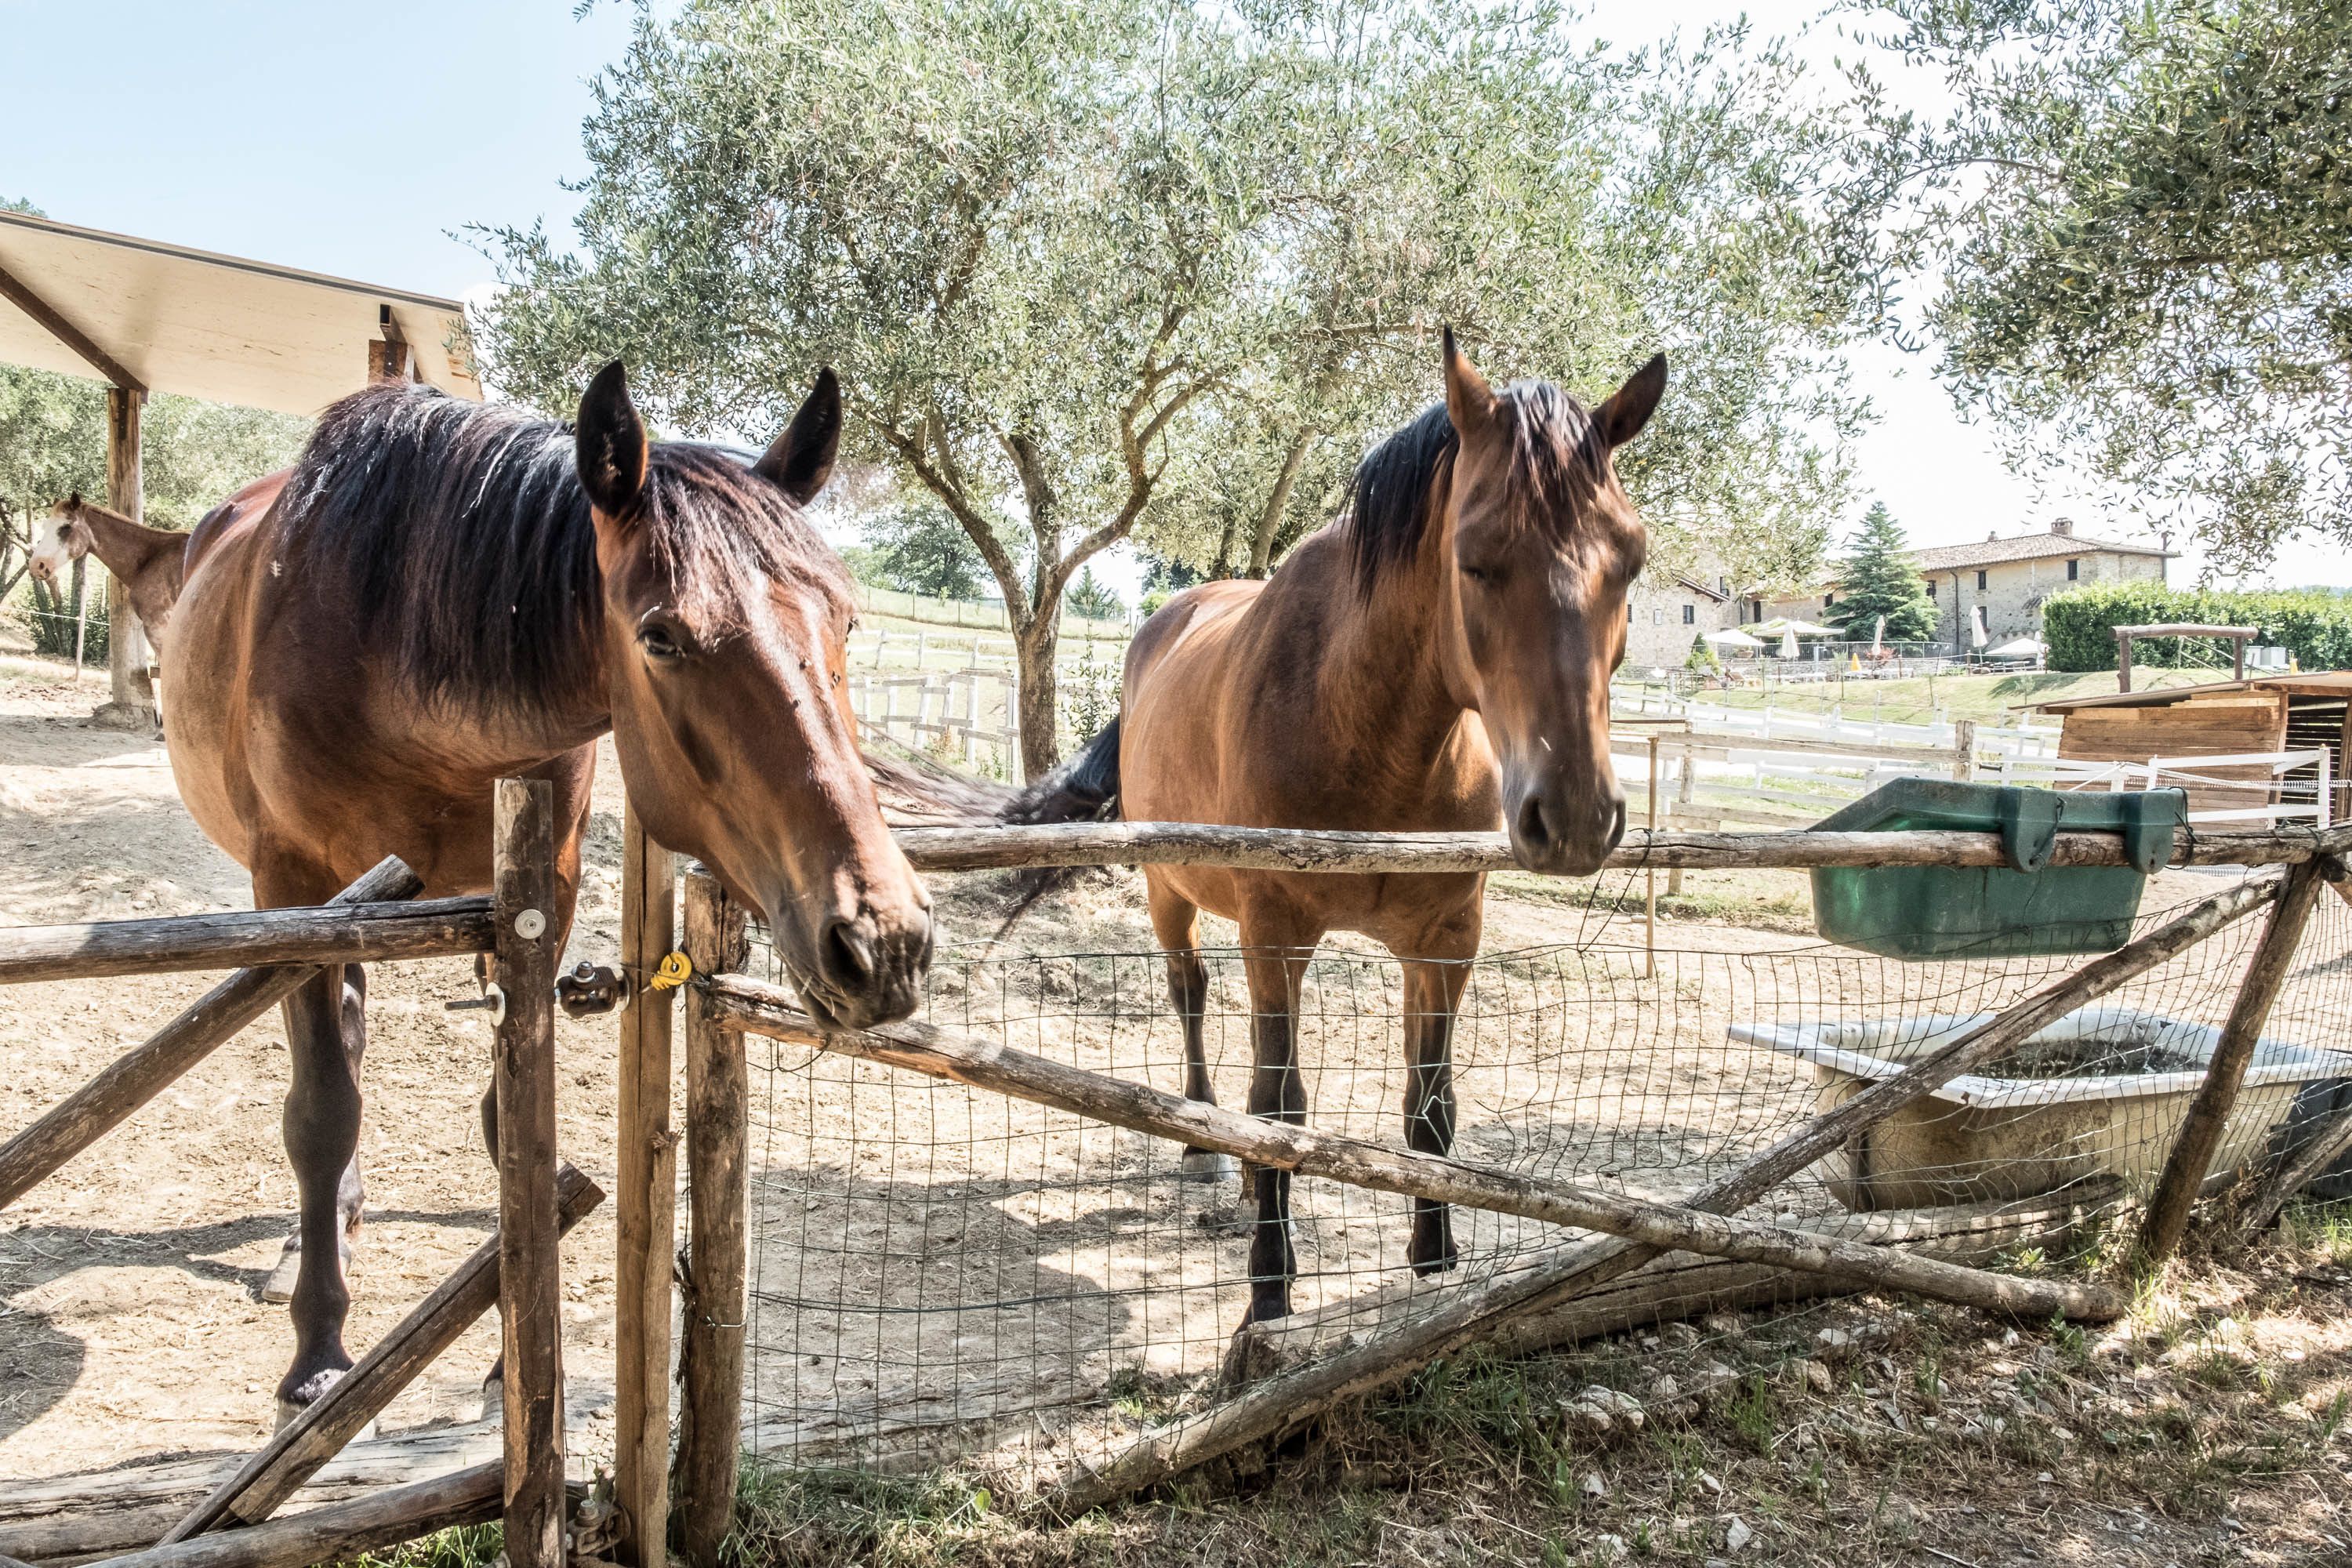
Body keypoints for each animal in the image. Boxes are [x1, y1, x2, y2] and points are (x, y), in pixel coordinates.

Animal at [163, 362, 937, 1422]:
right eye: (661, 635)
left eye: (847, 619)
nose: (883, 940)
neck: (393, 651)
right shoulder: (294, 889)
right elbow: (321, 1113)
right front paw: (318, 1355)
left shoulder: (539, 893)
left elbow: (507, 1117)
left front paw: (511, 1351)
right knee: (336, 1072)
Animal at [1025, 332, 1663, 1330]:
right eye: (1476, 557)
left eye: (1630, 559)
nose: (1575, 816)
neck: (1369, 730)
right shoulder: (1277, 929)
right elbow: (1282, 1105)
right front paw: (1270, 1288)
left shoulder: (1446, 939)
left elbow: (1429, 1103)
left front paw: (1435, 1258)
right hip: (1171, 891)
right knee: (1193, 1001)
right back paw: (1207, 1147)